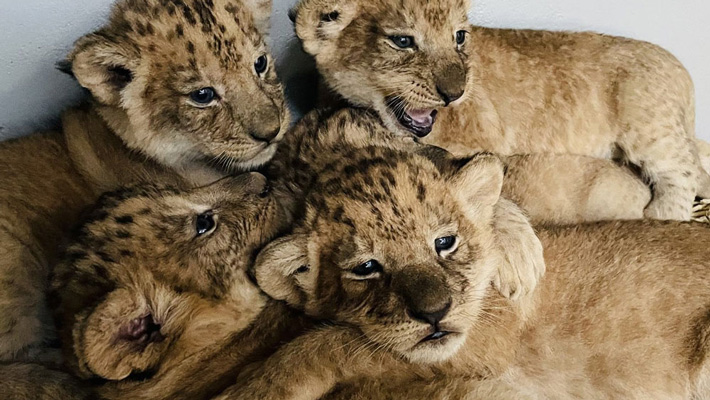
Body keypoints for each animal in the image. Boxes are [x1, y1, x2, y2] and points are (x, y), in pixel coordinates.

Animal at [213, 147, 710, 400]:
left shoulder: (494, 338)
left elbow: (328, 342)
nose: (436, 313)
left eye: (445, 243)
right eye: (366, 268)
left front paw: (251, 389)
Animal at [291, 0, 710, 222]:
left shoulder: (486, 140)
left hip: (650, 126)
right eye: (403, 41)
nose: (455, 93)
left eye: (459, 37)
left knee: (683, 172)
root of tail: (681, 69)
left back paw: (663, 216)